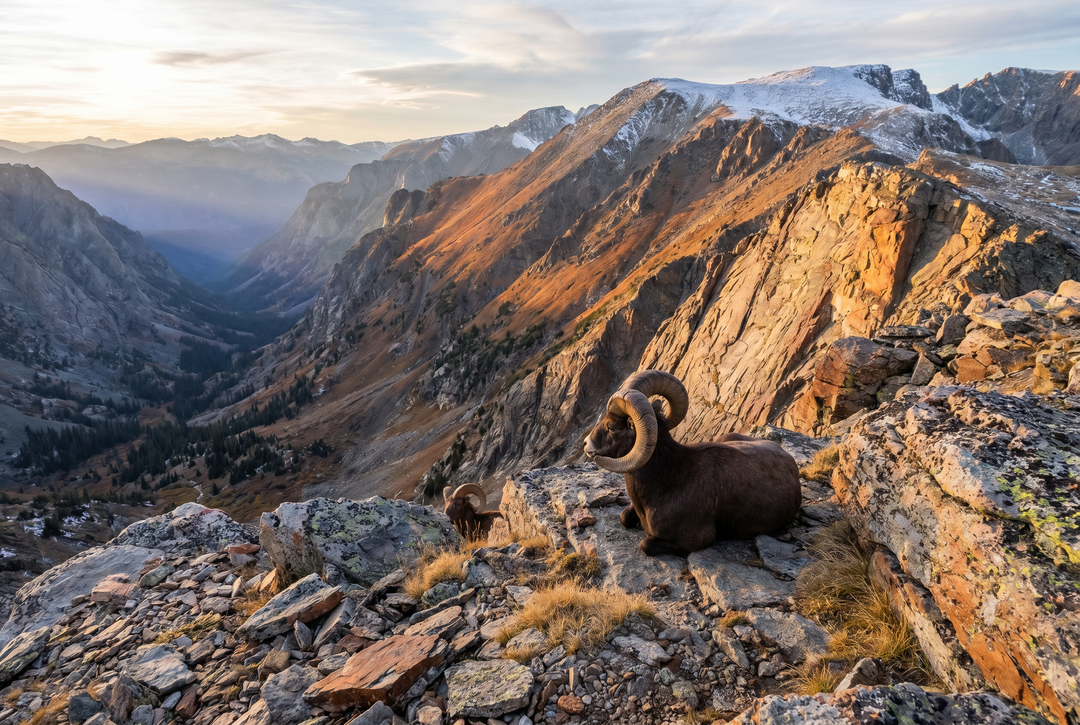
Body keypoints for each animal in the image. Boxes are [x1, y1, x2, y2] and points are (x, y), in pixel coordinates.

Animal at [583, 370, 801, 557]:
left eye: (612, 427)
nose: (586, 444)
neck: (666, 482)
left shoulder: (696, 541)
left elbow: (645, 544)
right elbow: (624, 518)